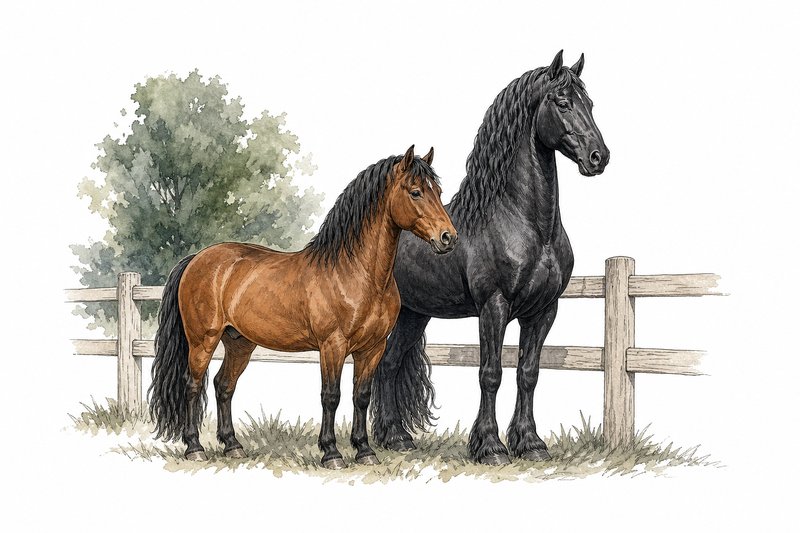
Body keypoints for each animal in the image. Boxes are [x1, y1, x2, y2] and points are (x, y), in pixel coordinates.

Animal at [148, 145, 457, 469]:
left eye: (437, 191)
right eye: (416, 192)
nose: (448, 238)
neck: (356, 273)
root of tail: (196, 259)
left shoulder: (373, 348)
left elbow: (361, 396)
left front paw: (365, 451)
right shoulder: (332, 346)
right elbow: (331, 396)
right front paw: (331, 452)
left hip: (239, 343)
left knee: (223, 385)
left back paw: (232, 445)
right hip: (202, 341)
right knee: (193, 386)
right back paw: (194, 447)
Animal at [371, 51, 610, 465]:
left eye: (590, 104)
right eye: (563, 102)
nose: (599, 157)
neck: (526, 224)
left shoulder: (543, 311)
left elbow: (528, 373)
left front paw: (530, 443)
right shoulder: (493, 307)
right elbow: (491, 373)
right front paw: (490, 446)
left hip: (413, 315)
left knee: (389, 364)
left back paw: (396, 437)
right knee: (383, 365)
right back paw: (392, 436)